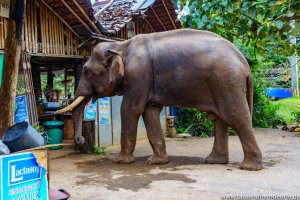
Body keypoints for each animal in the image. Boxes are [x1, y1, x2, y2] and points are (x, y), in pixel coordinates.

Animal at [56, 28, 262, 170]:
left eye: (86, 71)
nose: (80, 140)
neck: (121, 45)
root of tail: (244, 63)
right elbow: (150, 113)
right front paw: (157, 162)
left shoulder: (139, 75)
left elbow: (130, 109)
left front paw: (120, 161)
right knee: (218, 119)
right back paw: (214, 161)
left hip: (226, 82)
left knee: (236, 117)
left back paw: (249, 167)